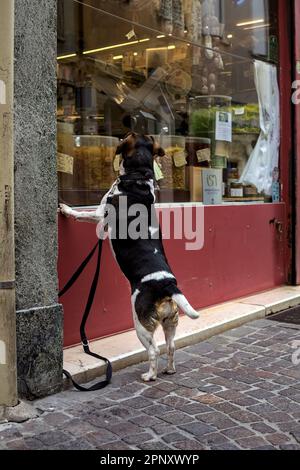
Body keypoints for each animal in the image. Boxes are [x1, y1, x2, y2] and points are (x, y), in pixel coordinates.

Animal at [59, 132, 199, 382]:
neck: (139, 177)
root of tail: (166, 284)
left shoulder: (100, 215)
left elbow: (82, 214)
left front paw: (66, 210)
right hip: (170, 322)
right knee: (171, 347)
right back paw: (169, 369)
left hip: (140, 324)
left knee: (154, 350)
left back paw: (150, 375)